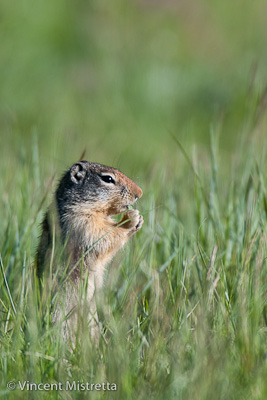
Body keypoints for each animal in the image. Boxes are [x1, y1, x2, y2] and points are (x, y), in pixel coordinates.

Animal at [37, 161, 144, 342]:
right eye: (108, 179)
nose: (140, 193)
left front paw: (139, 219)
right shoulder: (81, 223)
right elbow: (103, 237)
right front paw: (131, 218)